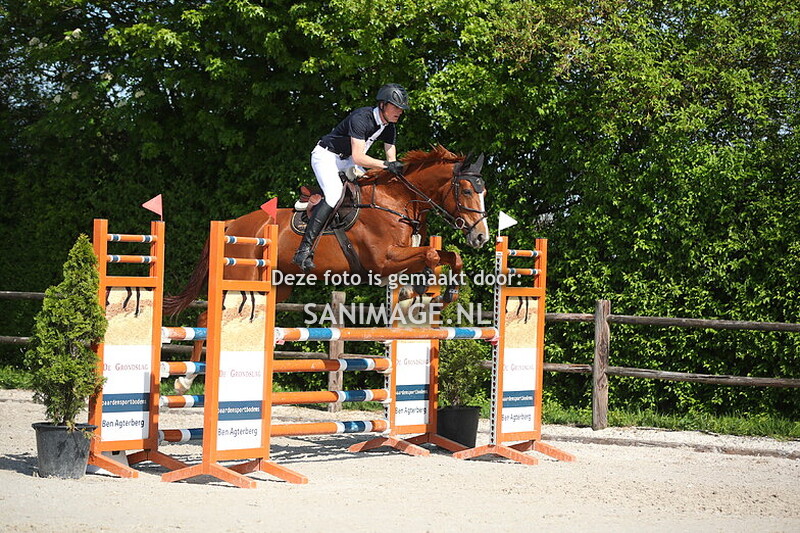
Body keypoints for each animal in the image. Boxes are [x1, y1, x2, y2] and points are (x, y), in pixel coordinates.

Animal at [163, 145, 490, 393]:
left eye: (483, 191)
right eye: (465, 190)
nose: (481, 236)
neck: (396, 201)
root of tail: (232, 224)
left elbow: (450, 256)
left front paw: (445, 293)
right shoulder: (384, 260)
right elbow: (432, 255)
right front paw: (421, 288)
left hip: (278, 286)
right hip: (239, 280)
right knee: (206, 317)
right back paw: (185, 380)